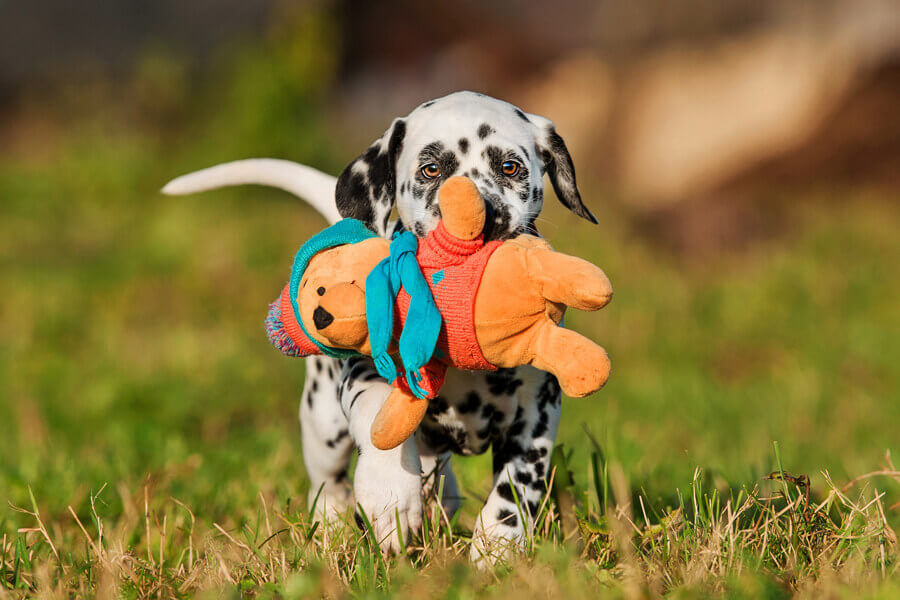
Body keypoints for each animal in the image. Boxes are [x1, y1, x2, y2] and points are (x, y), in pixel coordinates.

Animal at [162, 90, 596, 564]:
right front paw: (390, 496)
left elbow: (518, 483)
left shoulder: (538, 410)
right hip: (322, 424)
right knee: (328, 481)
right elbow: (377, 420)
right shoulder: (368, 372)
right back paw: (333, 527)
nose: (482, 219)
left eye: (510, 168)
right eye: (431, 170)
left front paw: (498, 542)